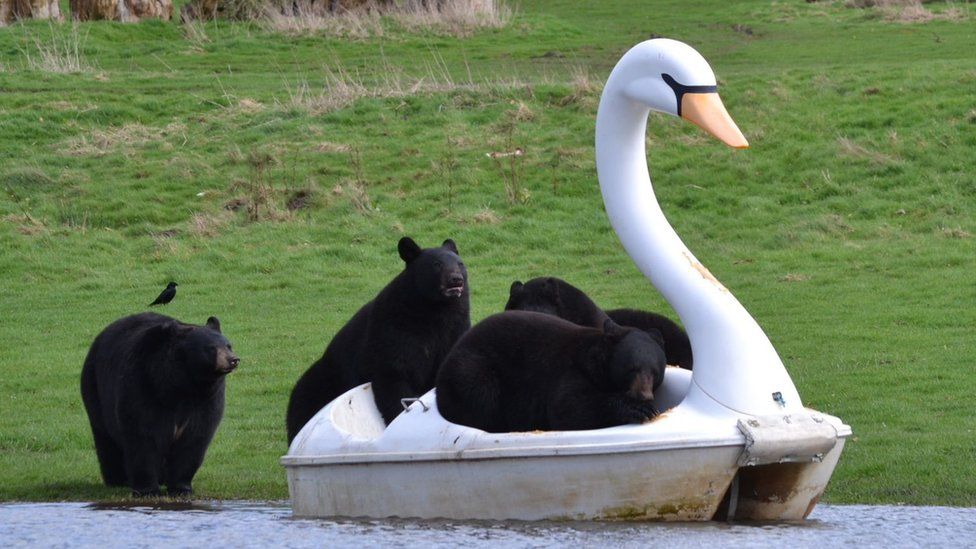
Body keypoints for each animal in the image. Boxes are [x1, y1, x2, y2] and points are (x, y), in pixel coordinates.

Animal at [80, 312, 238, 496]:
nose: (233, 359)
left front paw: (181, 488)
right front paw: (147, 490)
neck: (182, 385)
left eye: (228, 345)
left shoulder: (206, 400)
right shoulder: (143, 386)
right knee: (105, 438)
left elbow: (194, 439)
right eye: (211, 348)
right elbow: (143, 437)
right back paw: (117, 479)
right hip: (95, 389)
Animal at [286, 235, 472, 440]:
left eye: (460, 263)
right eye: (436, 264)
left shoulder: (455, 328)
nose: (456, 279)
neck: (435, 310)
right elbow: (393, 375)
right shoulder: (394, 329)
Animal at [438, 308, 668, 432]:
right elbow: (570, 408)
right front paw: (641, 410)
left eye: (655, 372)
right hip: (472, 370)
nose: (644, 395)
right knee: (479, 396)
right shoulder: (571, 369)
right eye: (631, 369)